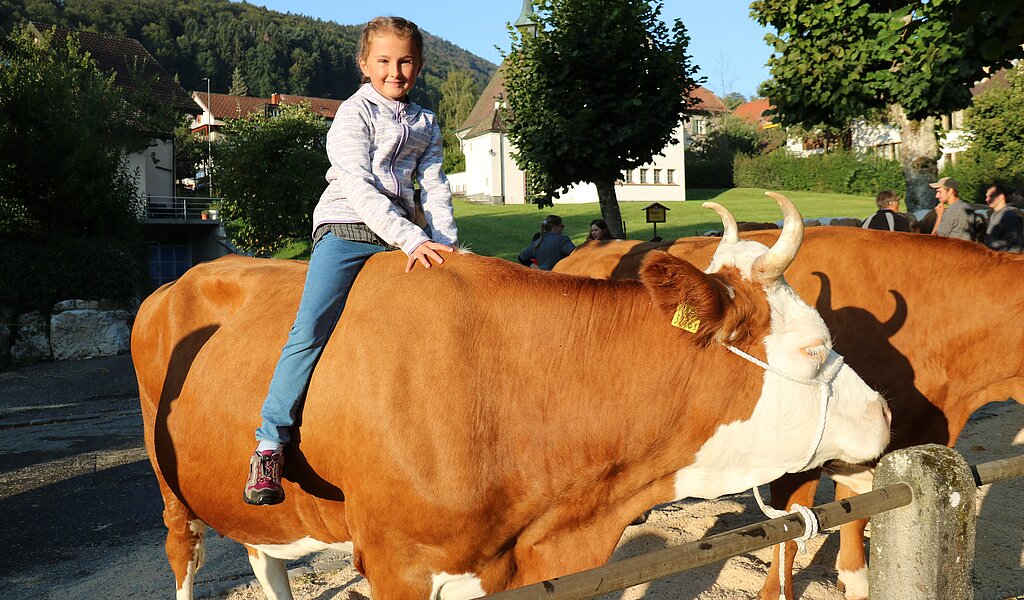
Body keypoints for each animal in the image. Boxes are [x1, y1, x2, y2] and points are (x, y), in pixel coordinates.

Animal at [136, 193, 888, 593]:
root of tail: (175, 281)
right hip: (172, 494)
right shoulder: (396, 564)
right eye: (814, 348)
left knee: (265, 561)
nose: (885, 413)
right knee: (184, 554)